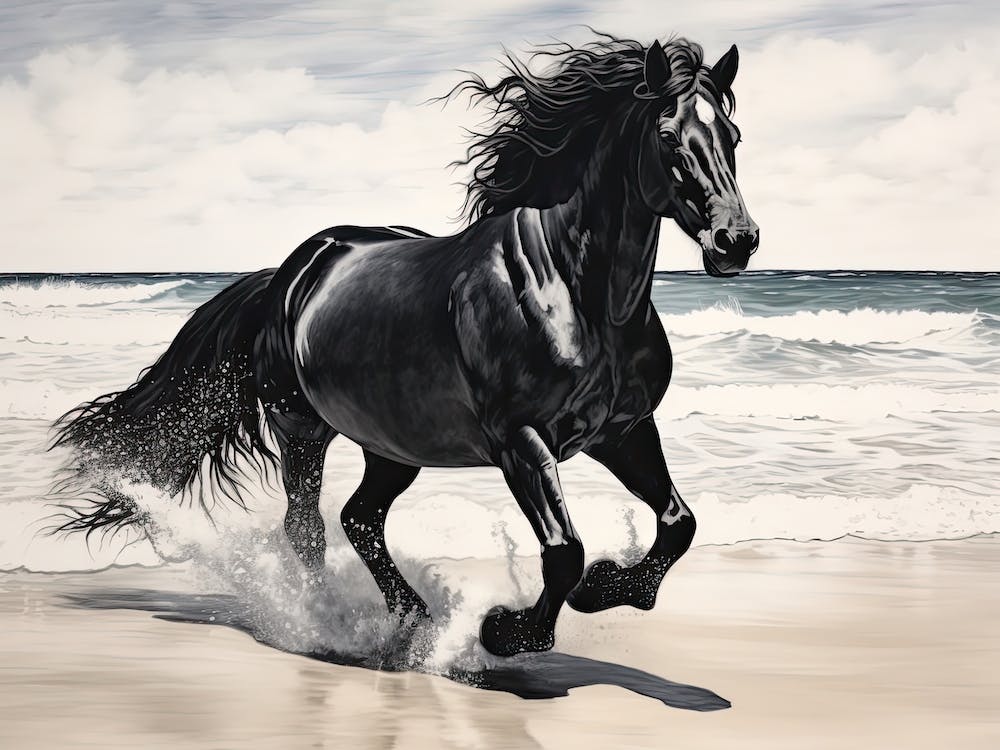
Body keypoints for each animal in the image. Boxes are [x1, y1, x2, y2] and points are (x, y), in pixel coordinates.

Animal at [52, 34, 759, 658]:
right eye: (667, 137)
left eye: (732, 135)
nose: (736, 241)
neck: (576, 292)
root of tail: (290, 273)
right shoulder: (521, 442)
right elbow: (564, 552)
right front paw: (507, 632)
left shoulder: (622, 430)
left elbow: (679, 523)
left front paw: (609, 588)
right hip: (300, 426)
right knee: (306, 528)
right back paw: (329, 625)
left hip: (393, 444)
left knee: (360, 519)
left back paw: (412, 618)